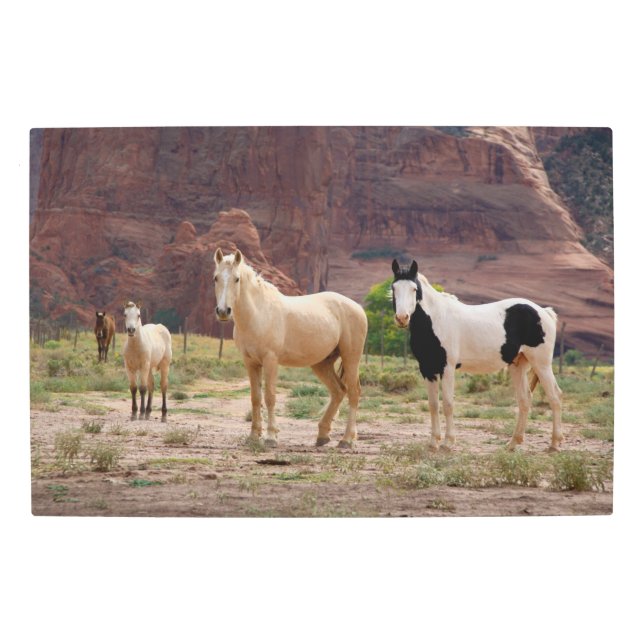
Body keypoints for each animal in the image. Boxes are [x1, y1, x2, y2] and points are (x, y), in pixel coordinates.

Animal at [214, 248, 368, 448]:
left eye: (237, 279)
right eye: (216, 278)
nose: (223, 311)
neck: (258, 314)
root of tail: (357, 308)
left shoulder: (270, 360)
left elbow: (269, 397)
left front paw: (271, 437)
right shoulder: (250, 362)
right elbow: (255, 398)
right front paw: (253, 436)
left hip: (351, 358)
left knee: (353, 393)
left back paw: (346, 440)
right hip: (322, 364)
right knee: (338, 391)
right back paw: (322, 436)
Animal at [391, 258, 563, 452]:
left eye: (414, 289)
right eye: (394, 288)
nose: (402, 318)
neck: (436, 320)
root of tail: (544, 312)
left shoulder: (447, 368)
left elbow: (448, 404)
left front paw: (448, 443)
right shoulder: (428, 369)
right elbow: (433, 405)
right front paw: (433, 442)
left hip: (541, 364)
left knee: (555, 397)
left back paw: (554, 444)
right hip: (518, 365)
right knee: (525, 400)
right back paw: (512, 443)